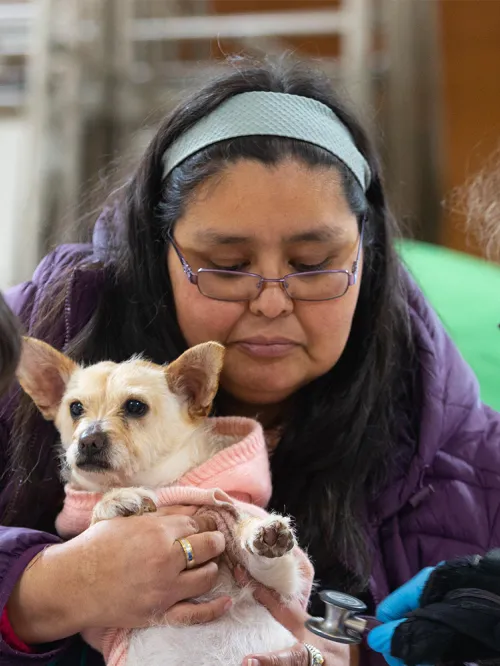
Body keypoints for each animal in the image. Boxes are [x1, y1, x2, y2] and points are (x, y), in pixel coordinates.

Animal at [16, 338, 312, 664]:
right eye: (75, 408)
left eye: (135, 406)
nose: (88, 439)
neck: (159, 483)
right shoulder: (97, 621)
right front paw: (114, 500)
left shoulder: (285, 588)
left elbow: (264, 559)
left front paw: (261, 532)